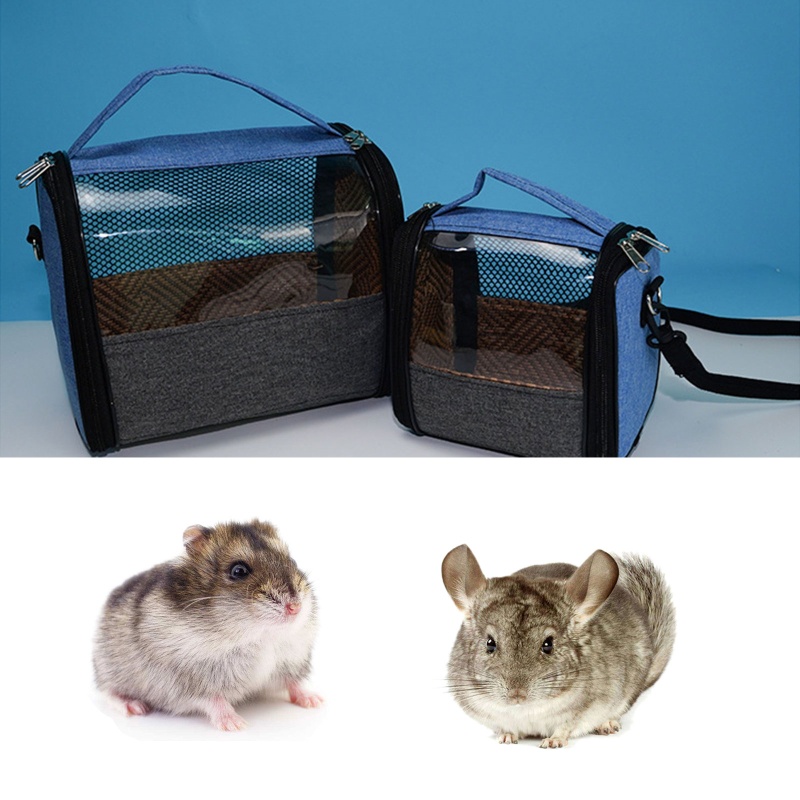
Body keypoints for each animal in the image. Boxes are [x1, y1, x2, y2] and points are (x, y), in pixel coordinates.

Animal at [93, 519, 322, 731]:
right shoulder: (191, 680)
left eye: (292, 560)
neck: (259, 637)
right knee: (107, 690)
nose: (295, 607)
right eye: (238, 571)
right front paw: (236, 724)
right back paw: (134, 707)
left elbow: (294, 683)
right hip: (108, 667)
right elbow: (214, 700)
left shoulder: (290, 661)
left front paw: (315, 701)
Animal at [442, 546, 675, 748]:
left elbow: (566, 726)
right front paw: (507, 737)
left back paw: (607, 725)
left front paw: (553, 742)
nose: (517, 694)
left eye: (548, 645)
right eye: (490, 643)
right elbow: (504, 727)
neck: (524, 710)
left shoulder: (585, 707)